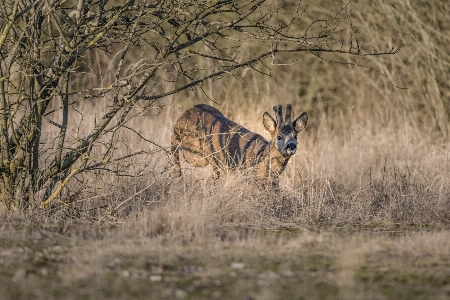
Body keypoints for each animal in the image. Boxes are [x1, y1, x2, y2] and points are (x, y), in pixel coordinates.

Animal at [171, 104, 308, 186]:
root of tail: (188, 110)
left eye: (295, 136)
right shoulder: (241, 174)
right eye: (279, 136)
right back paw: (177, 173)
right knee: (174, 141)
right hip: (193, 152)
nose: (291, 145)